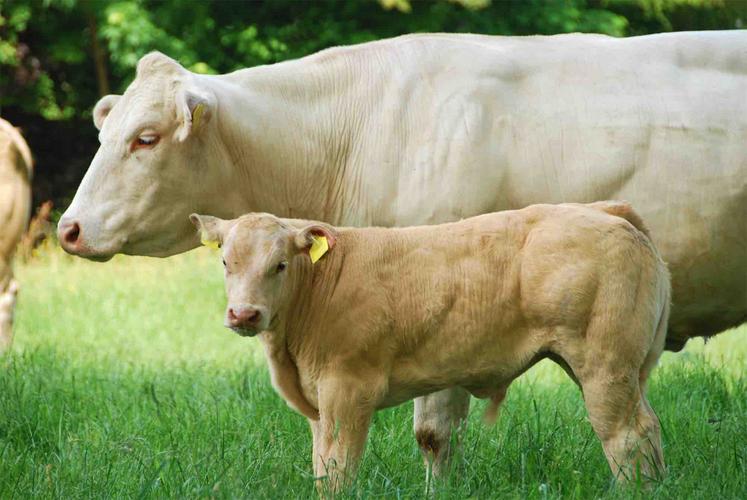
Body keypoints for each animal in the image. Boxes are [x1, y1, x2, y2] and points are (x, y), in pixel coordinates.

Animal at [190, 201, 671, 491]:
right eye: (225, 261)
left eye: (280, 264)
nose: (244, 314)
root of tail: (605, 210)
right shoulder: (317, 406)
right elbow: (321, 466)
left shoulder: (348, 390)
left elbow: (339, 468)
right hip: (622, 369)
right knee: (648, 428)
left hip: (604, 364)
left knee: (625, 436)